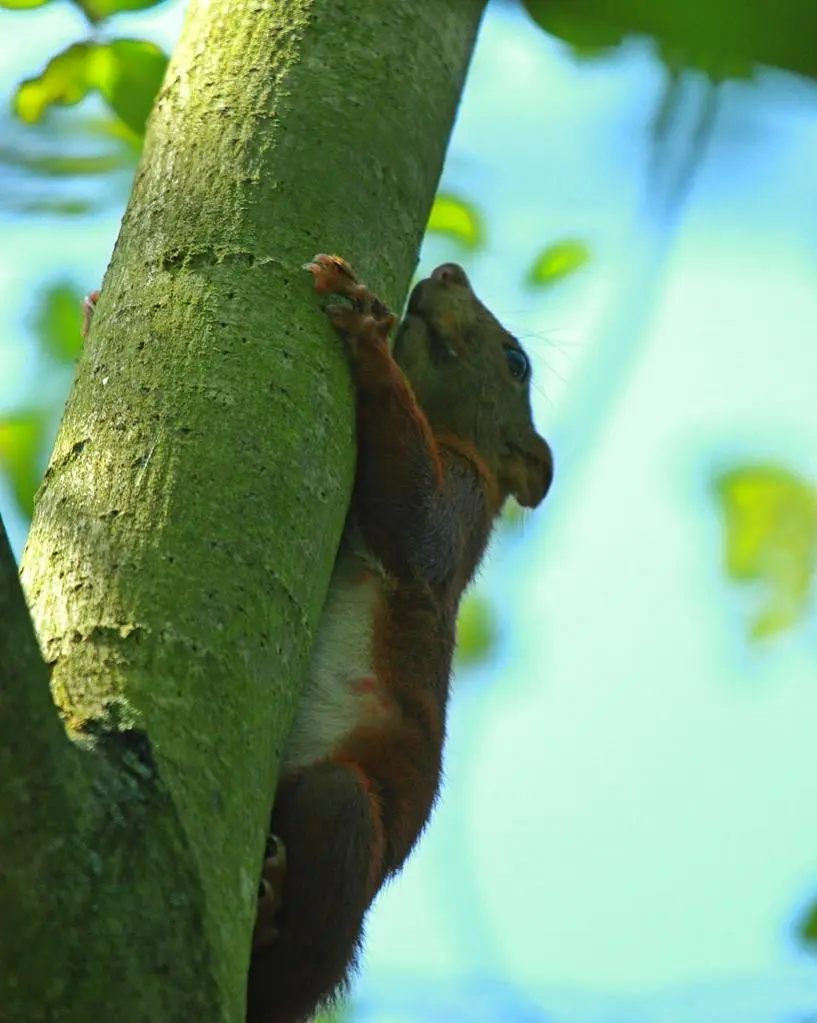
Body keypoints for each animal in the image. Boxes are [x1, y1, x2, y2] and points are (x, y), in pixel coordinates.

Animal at [246, 255, 553, 1023]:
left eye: (517, 361)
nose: (448, 267)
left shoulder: (460, 499)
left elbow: (414, 519)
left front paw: (365, 331)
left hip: (348, 812)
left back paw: (269, 924)